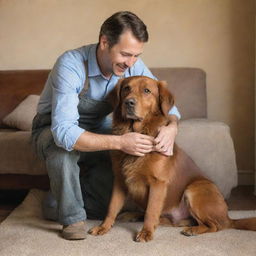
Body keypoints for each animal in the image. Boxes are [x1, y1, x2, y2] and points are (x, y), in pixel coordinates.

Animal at [88, 76, 256, 242]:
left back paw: (193, 230)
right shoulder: (119, 180)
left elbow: (151, 211)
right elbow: (112, 207)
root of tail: (229, 217)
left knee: (215, 225)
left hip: (194, 189)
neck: (138, 130)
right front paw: (103, 227)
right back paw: (133, 215)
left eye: (147, 91)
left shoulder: (158, 183)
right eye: (126, 88)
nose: (128, 102)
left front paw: (146, 232)